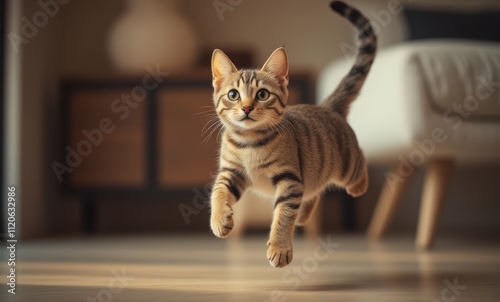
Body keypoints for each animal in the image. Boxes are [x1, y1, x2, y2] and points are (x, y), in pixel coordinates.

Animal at [209, 1, 376, 268]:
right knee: (313, 192)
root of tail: (327, 107)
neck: (249, 143)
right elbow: (219, 191)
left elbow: (283, 215)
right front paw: (219, 219)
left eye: (262, 94)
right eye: (233, 95)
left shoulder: (289, 180)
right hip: (311, 176)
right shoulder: (231, 173)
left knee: (360, 161)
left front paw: (279, 247)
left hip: (345, 168)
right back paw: (304, 215)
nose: (246, 108)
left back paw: (358, 186)